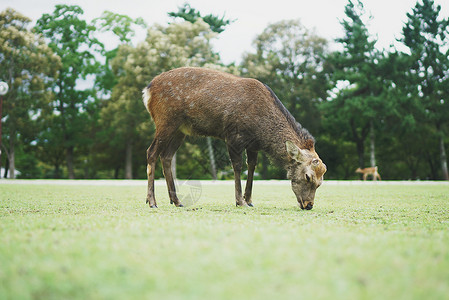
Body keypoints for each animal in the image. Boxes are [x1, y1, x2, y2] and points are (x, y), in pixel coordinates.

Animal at [143, 67, 326, 210]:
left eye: (321, 182)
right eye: (308, 176)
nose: (309, 205)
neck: (262, 130)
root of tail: (147, 90)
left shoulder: (253, 144)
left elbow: (251, 166)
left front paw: (249, 200)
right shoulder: (233, 136)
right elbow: (237, 167)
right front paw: (240, 201)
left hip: (180, 130)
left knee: (166, 156)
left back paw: (176, 200)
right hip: (165, 120)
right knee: (151, 152)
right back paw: (152, 201)